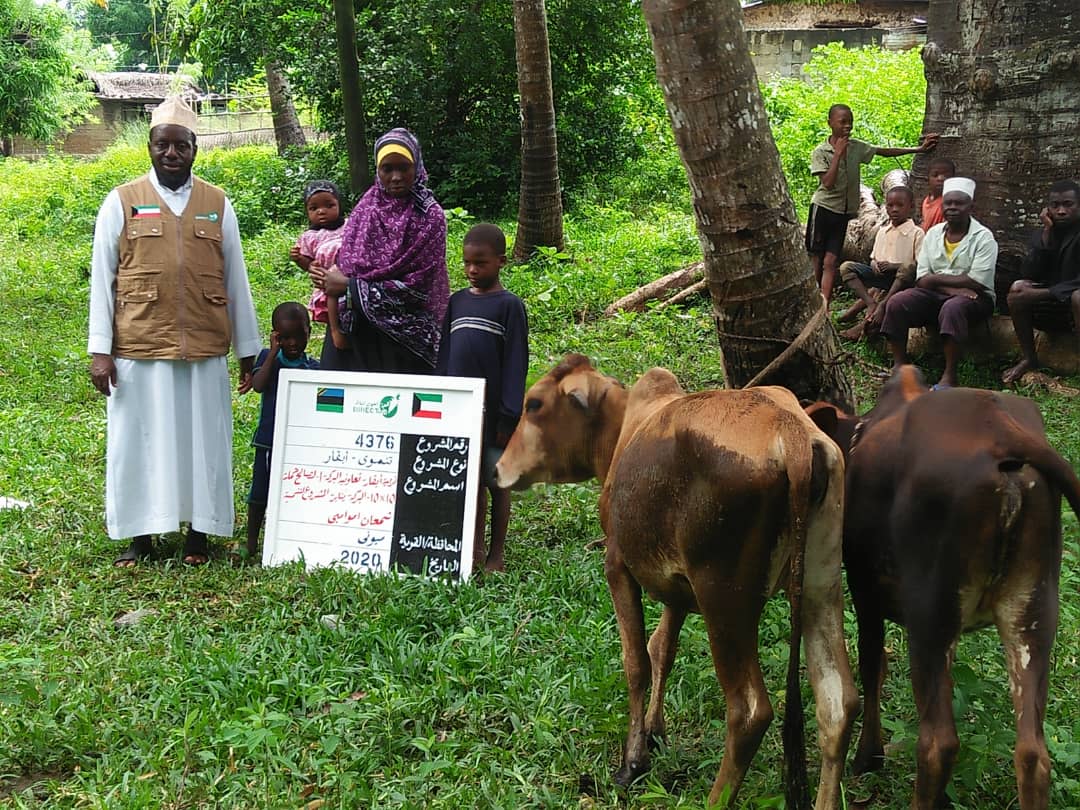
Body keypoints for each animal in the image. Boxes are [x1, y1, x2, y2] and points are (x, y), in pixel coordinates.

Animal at [495, 354, 858, 809]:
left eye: (534, 404)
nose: (499, 469)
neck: (624, 433)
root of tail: (791, 434)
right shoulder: (679, 589)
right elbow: (662, 649)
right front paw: (655, 730)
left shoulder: (618, 565)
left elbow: (637, 661)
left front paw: (633, 760)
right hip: (820, 587)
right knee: (837, 704)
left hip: (725, 599)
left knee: (750, 711)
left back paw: (715, 796)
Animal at [809, 366, 1080, 809]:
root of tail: (1002, 434)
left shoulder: (865, 592)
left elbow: (872, 667)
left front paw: (869, 755)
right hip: (1033, 611)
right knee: (1032, 753)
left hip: (930, 616)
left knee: (938, 743)